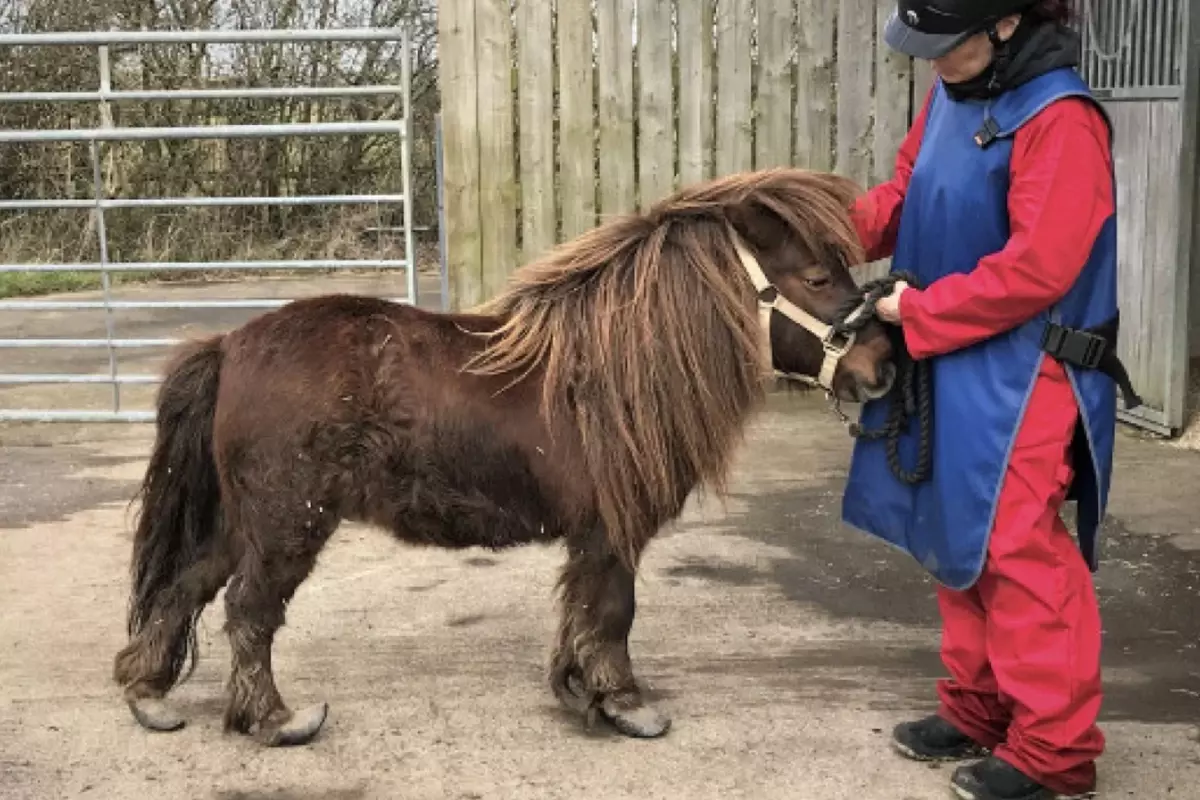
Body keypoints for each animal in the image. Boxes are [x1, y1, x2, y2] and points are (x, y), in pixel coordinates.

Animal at [112, 165, 897, 748]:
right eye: (817, 279)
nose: (883, 365)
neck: (610, 371)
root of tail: (230, 345)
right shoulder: (612, 531)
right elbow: (614, 610)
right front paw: (625, 704)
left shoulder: (590, 537)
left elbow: (582, 609)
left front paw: (580, 689)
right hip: (286, 525)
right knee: (248, 609)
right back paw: (273, 720)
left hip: (244, 522)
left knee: (184, 587)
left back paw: (150, 694)